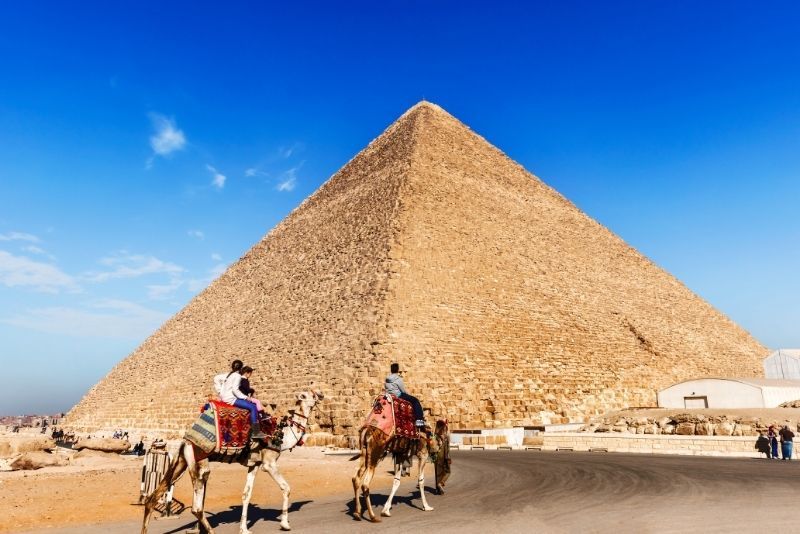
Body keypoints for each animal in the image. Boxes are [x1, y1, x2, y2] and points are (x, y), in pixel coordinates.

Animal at [141, 389, 323, 534]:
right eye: (309, 394)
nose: (321, 394)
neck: (282, 436)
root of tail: (186, 441)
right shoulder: (269, 463)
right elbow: (286, 488)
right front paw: (285, 524)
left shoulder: (254, 465)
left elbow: (246, 495)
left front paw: (244, 529)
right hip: (199, 462)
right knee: (196, 508)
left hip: (180, 462)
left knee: (153, 498)